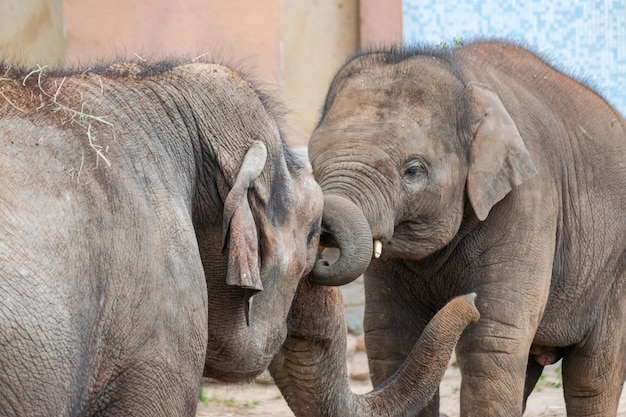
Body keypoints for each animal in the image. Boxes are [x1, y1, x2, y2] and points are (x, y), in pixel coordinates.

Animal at [306, 39, 624, 416]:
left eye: (413, 170)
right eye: (311, 163)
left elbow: (491, 340)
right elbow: (391, 338)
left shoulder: (528, 201)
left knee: (592, 377)